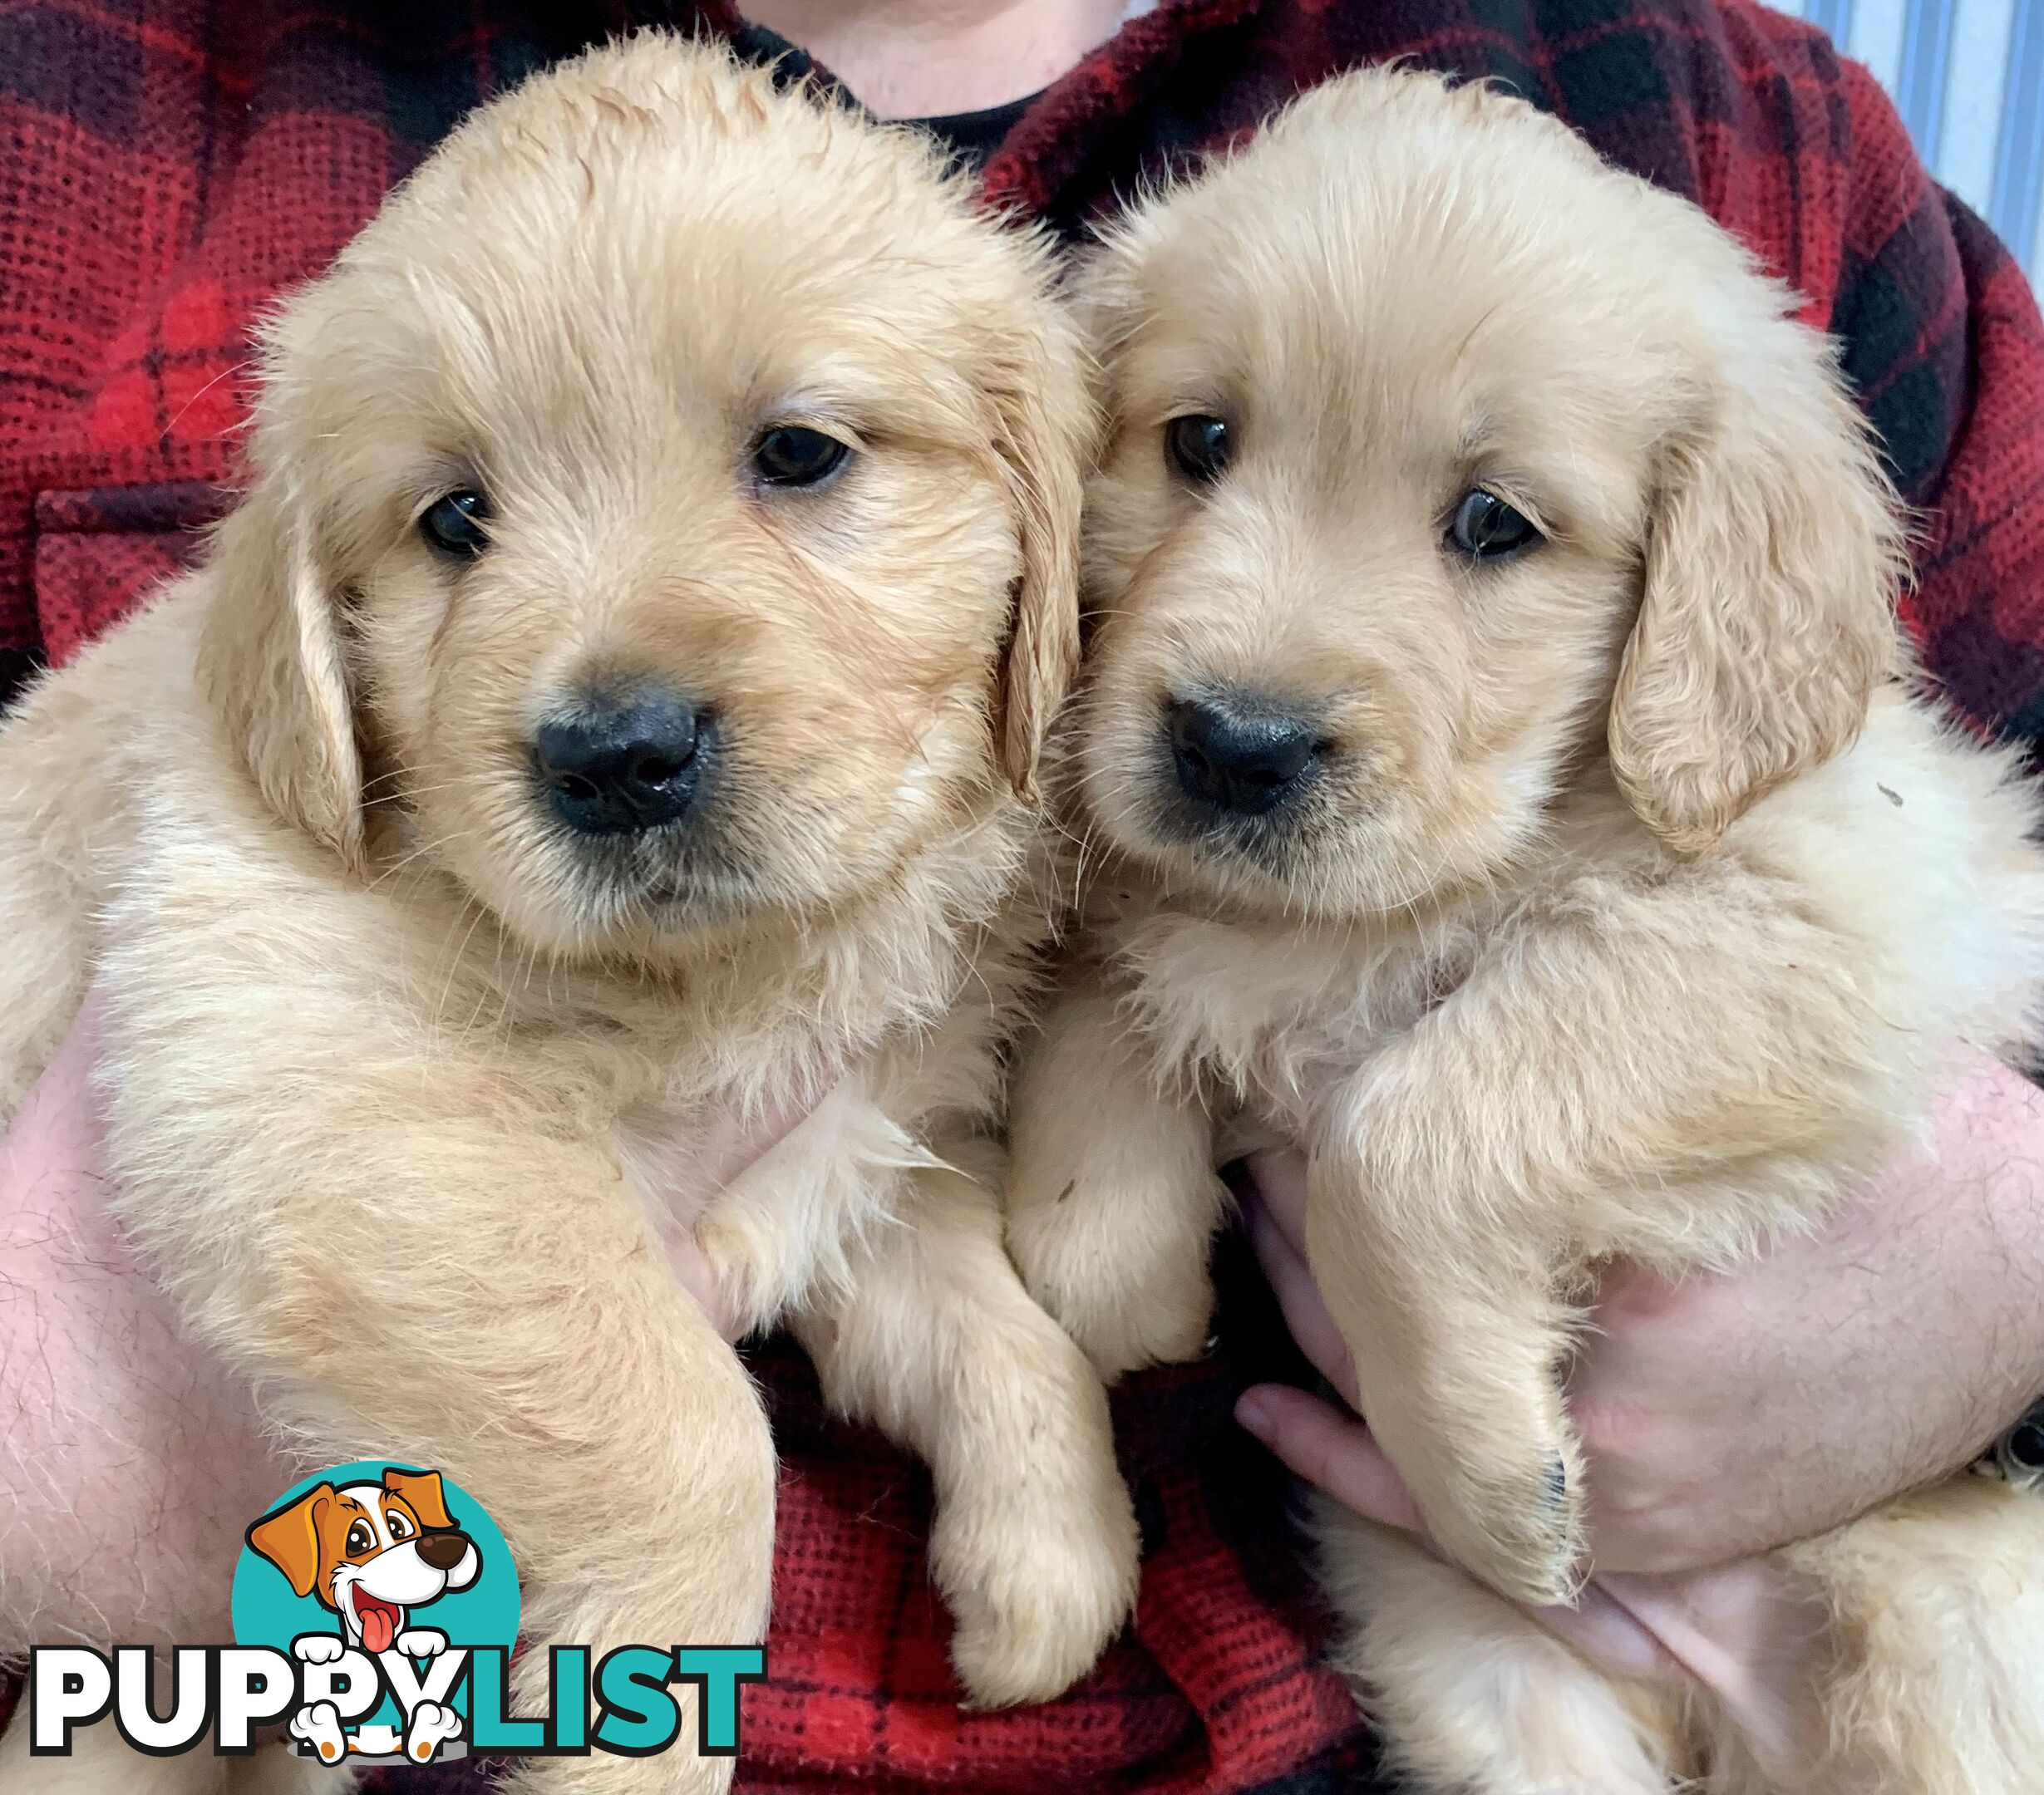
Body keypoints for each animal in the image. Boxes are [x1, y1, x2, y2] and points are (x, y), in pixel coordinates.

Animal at [0, 32, 1136, 1795]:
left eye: (799, 453)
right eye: (453, 520)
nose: (615, 758)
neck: (724, 974)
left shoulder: (838, 1143)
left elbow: (988, 1324)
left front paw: (1046, 1568)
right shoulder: (300, 1067)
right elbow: (690, 1439)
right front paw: (636, 1736)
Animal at [1013, 66, 2044, 1795]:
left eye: (1494, 525)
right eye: (1197, 440)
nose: (1230, 745)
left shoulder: (1830, 925)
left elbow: (1405, 1123)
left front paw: (1496, 1479)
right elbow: (1105, 1082)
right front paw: (1139, 1272)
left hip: (1967, 1652)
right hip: (1486, 1687)